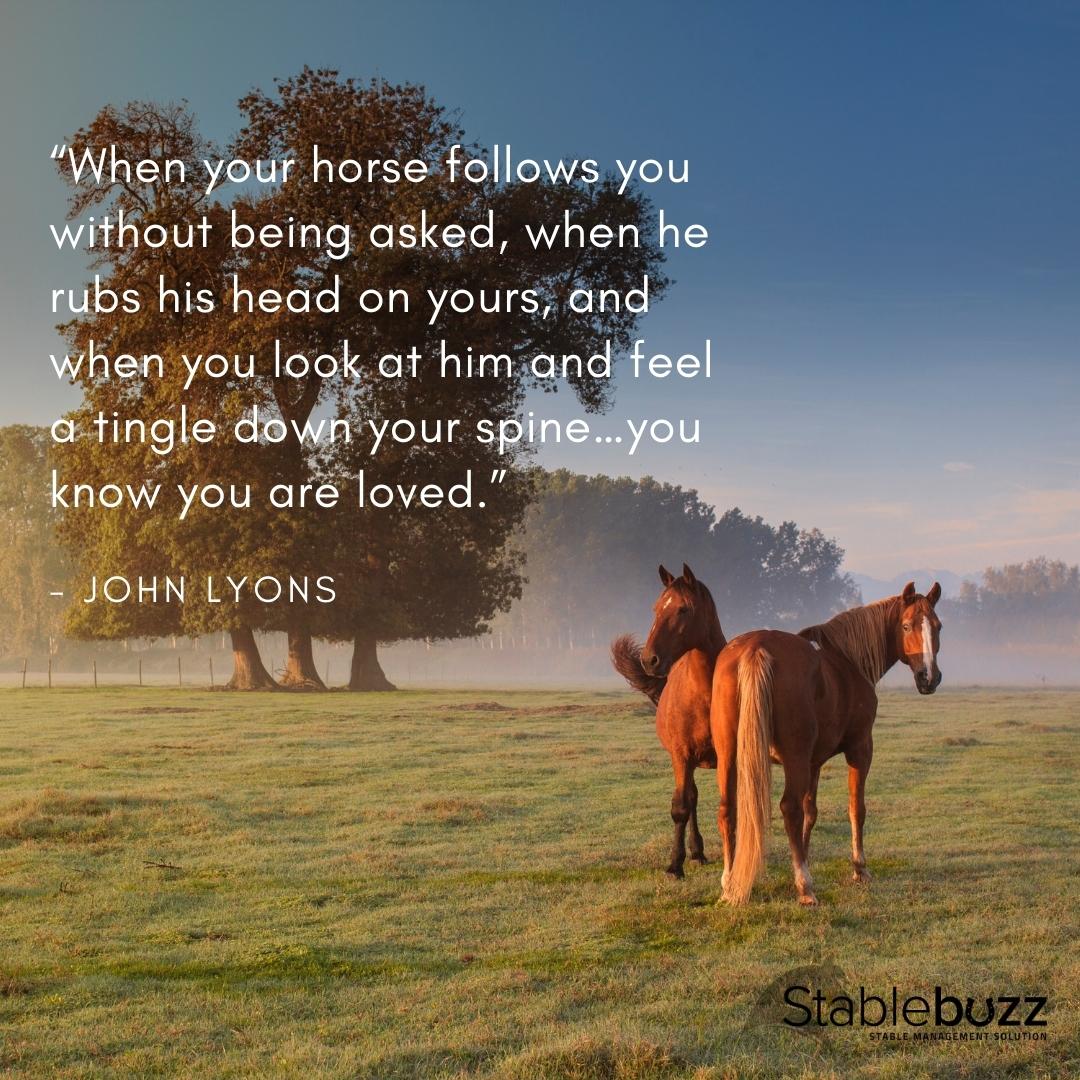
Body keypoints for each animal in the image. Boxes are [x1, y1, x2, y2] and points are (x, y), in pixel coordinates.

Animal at [611, 564, 727, 878]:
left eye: (683, 609)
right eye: (655, 608)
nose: (649, 660)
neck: (705, 693)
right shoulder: (681, 755)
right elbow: (680, 807)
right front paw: (675, 864)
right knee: (691, 798)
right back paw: (695, 852)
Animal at [712, 582, 943, 906]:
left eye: (937, 626)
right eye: (907, 625)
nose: (929, 677)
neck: (848, 661)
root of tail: (756, 648)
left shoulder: (814, 762)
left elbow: (811, 812)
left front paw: (805, 858)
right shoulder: (860, 749)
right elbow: (856, 808)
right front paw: (859, 869)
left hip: (729, 756)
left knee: (728, 811)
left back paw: (729, 884)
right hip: (793, 759)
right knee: (789, 809)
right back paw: (805, 887)